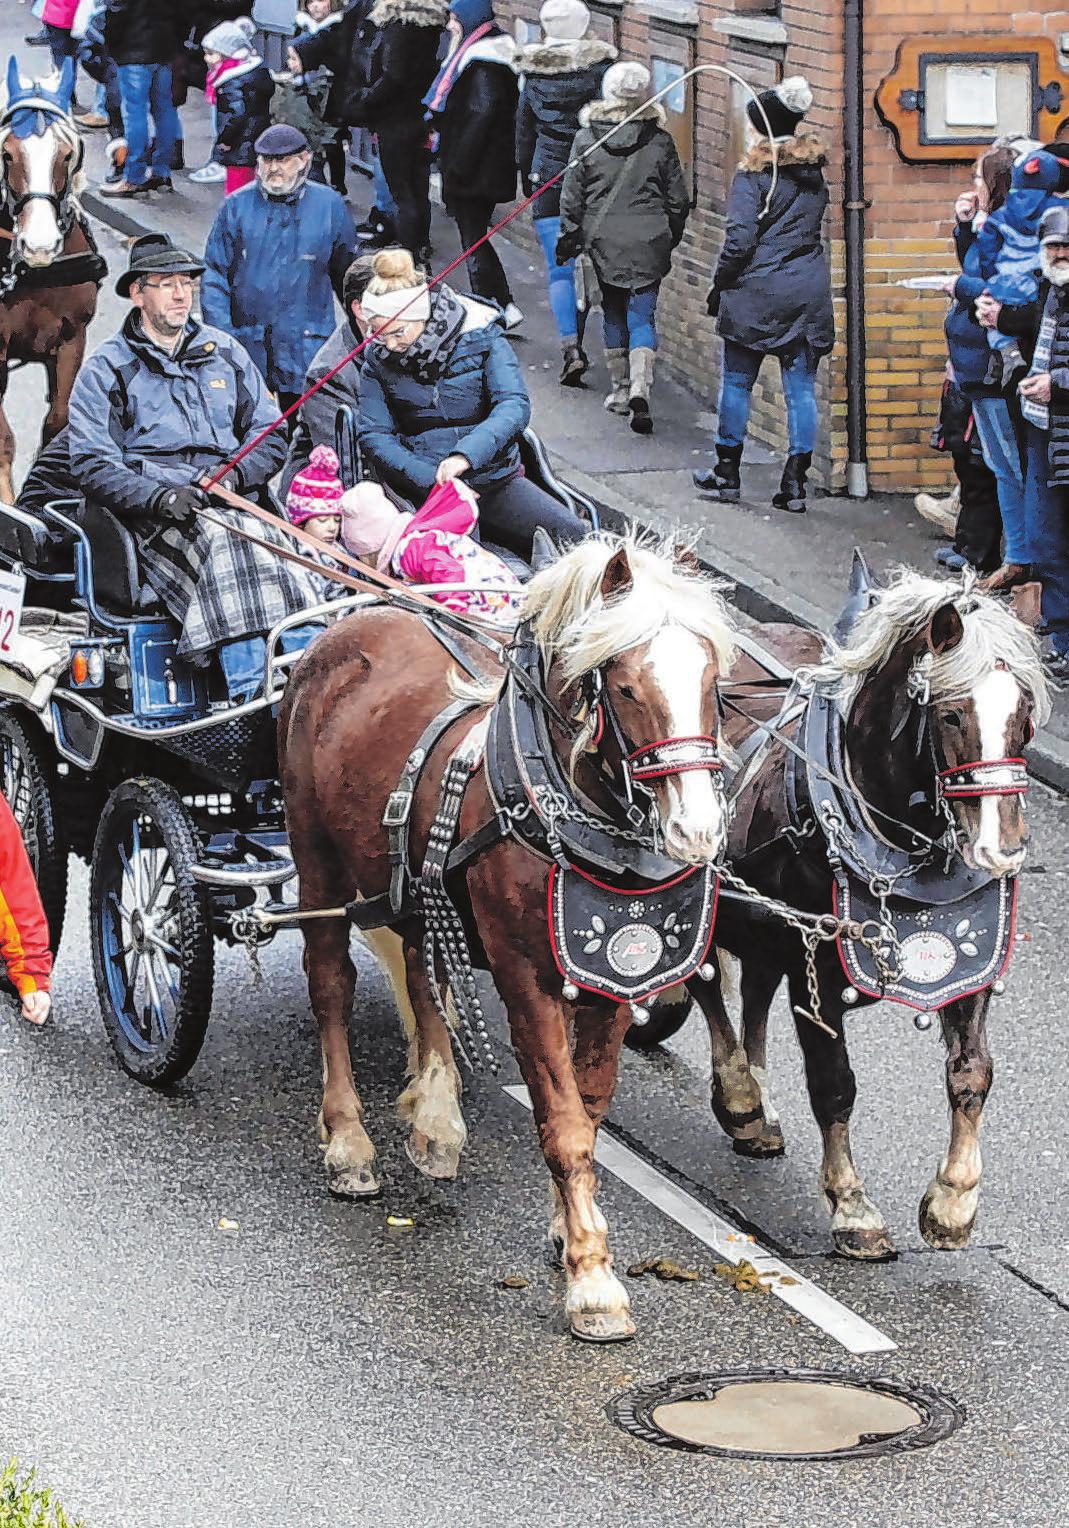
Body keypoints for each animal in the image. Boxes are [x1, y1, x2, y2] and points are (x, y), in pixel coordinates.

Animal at [279, 534, 739, 1338]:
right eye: (623, 687)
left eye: (713, 682)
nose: (695, 829)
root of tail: (355, 620)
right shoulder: (528, 978)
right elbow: (563, 1123)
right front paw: (593, 1281)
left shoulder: (610, 979)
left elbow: (590, 1107)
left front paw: (569, 1228)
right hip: (317, 862)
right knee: (330, 984)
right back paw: (348, 1141)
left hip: (412, 882)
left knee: (423, 969)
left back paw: (436, 1121)